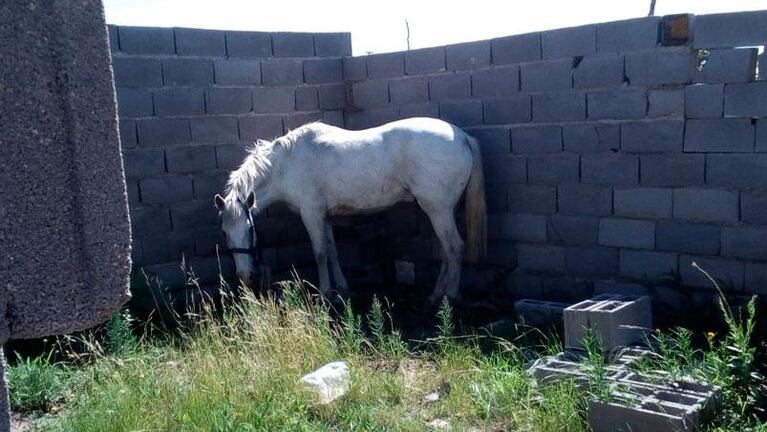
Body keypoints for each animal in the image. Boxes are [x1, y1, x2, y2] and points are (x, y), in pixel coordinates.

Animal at [213, 116, 486, 302]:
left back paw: (450, 296)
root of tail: (461, 136)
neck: (286, 164)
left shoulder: (311, 214)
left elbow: (320, 253)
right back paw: (436, 294)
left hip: (438, 210)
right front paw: (342, 289)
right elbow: (332, 252)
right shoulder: (324, 217)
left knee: (454, 248)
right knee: (446, 250)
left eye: (249, 229)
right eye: (225, 233)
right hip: (442, 211)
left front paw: (325, 292)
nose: (246, 276)